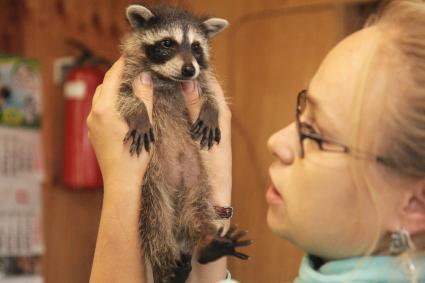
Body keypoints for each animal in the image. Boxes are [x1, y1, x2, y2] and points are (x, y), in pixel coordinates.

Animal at [115, 4, 248, 283]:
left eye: (196, 46)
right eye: (167, 43)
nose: (189, 69)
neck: (169, 79)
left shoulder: (201, 78)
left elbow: (210, 93)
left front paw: (210, 109)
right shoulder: (130, 73)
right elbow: (125, 96)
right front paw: (139, 113)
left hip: (197, 182)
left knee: (198, 212)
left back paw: (210, 242)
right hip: (151, 186)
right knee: (155, 225)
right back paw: (167, 268)